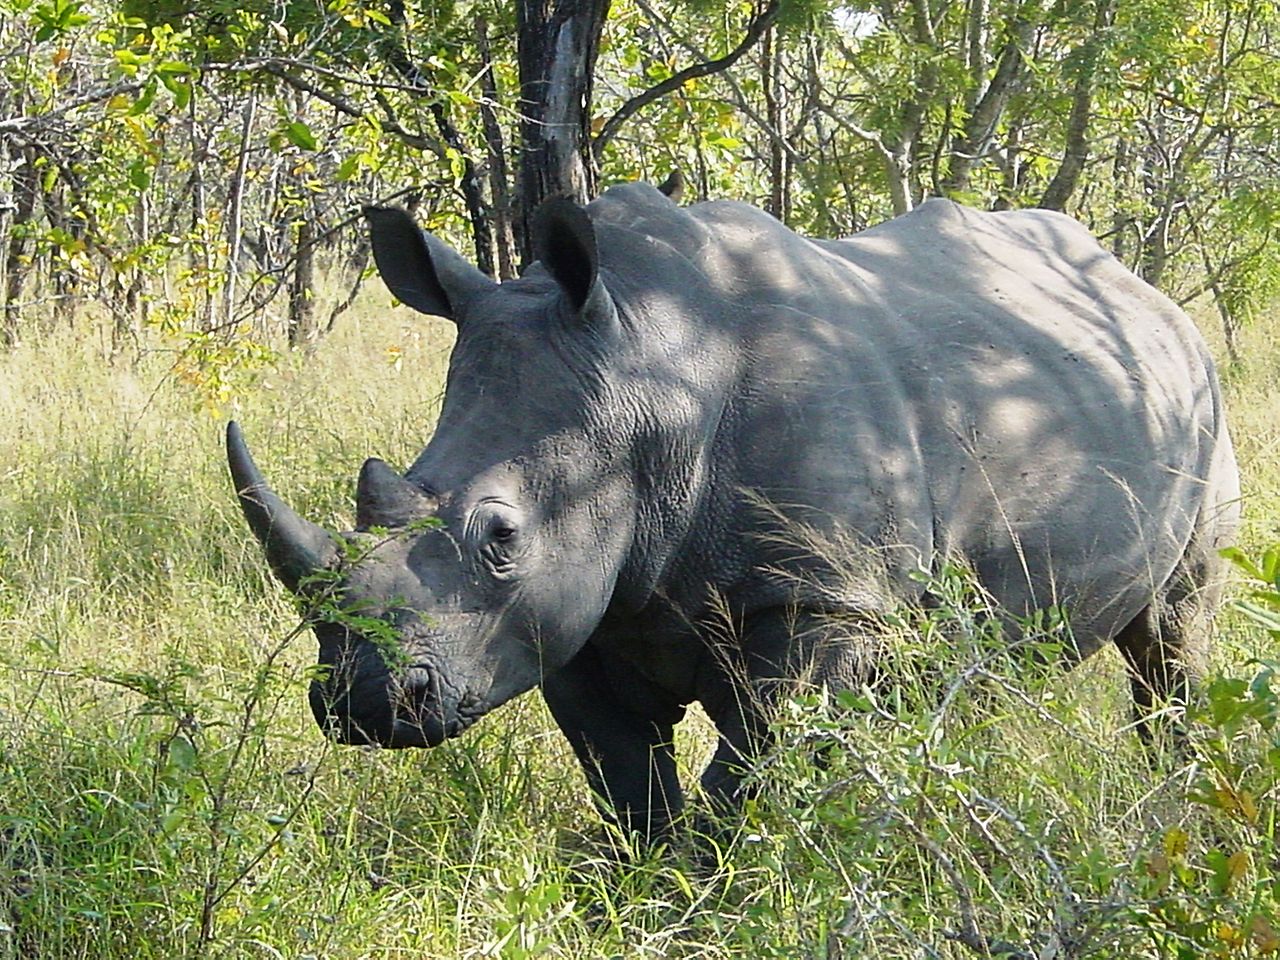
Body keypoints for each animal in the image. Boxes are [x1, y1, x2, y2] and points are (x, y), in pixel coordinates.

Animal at [228, 181, 1239, 841]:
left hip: (1202, 401)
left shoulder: (818, 601)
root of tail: (1147, 294)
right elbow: (631, 789)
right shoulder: (576, 613)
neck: (646, 376)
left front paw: (717, 898)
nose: (364, 702)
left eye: (501, 535)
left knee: (1173, 629)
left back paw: (1180, 802)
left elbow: (748, 777)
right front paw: (648, 894)